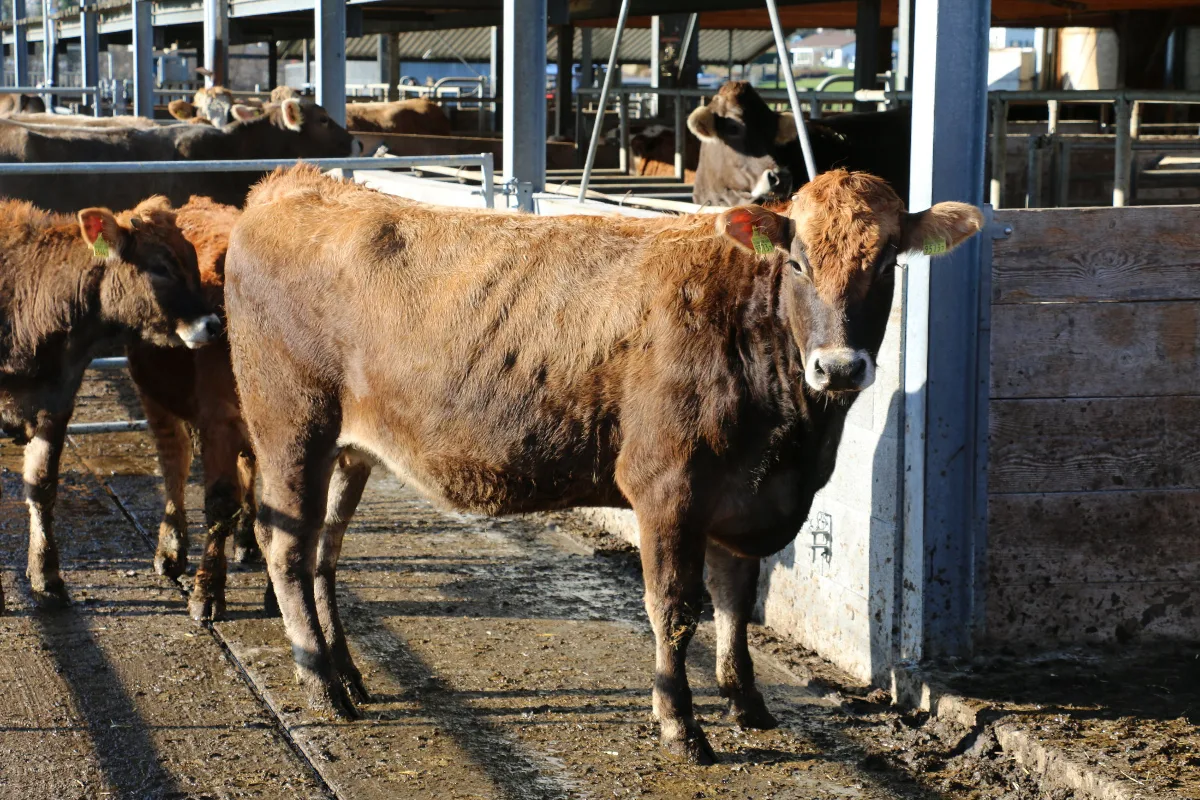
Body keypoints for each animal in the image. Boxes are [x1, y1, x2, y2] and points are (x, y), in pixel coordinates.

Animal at [0, 196, 221, 614]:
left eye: (192, 258)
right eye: (161, 266)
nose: (213, 324)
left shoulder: (57, 404)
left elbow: (41, 485)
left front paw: (47, 577)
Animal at [124, 197, 258, 621]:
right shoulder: (218, 420)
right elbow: (219, 500)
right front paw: (207, 590)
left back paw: (247, 539)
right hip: (154, 396)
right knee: (174, 463)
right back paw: (171, 550)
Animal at [223, 164, 983, 763]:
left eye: (887, 263)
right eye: (796, 263)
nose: (840, 366)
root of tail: (292, 183)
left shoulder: (744, 499)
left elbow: (737, 602)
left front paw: (747, 703)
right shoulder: (668, 490)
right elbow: (675, 609)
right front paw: (681, 726)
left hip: (350, 449)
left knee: (324, 552)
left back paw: (347, 672)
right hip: (292, 427)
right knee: (285, 547)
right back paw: (322, 683)